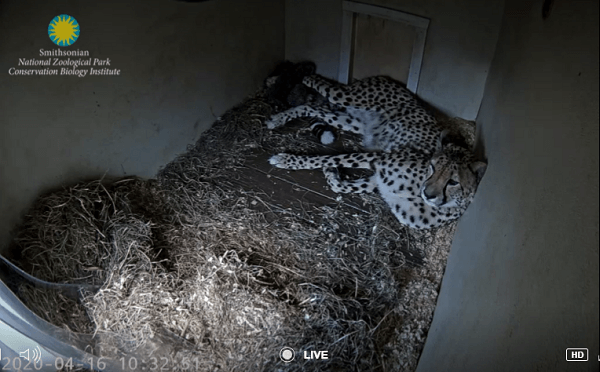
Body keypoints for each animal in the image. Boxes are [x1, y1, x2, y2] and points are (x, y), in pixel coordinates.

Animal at [268, 73, 488, 228]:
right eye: (433, 167)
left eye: (453, 181)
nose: (428, 193)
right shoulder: (380, 158)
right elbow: (328, 158)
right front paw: (286, 160)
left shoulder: (378, 181)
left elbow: (340, 185)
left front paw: (332, 173)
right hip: (347, 97)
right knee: (322, 84)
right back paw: (290, 81)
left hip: (352, 120)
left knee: (313, 108)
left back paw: (278, 117)